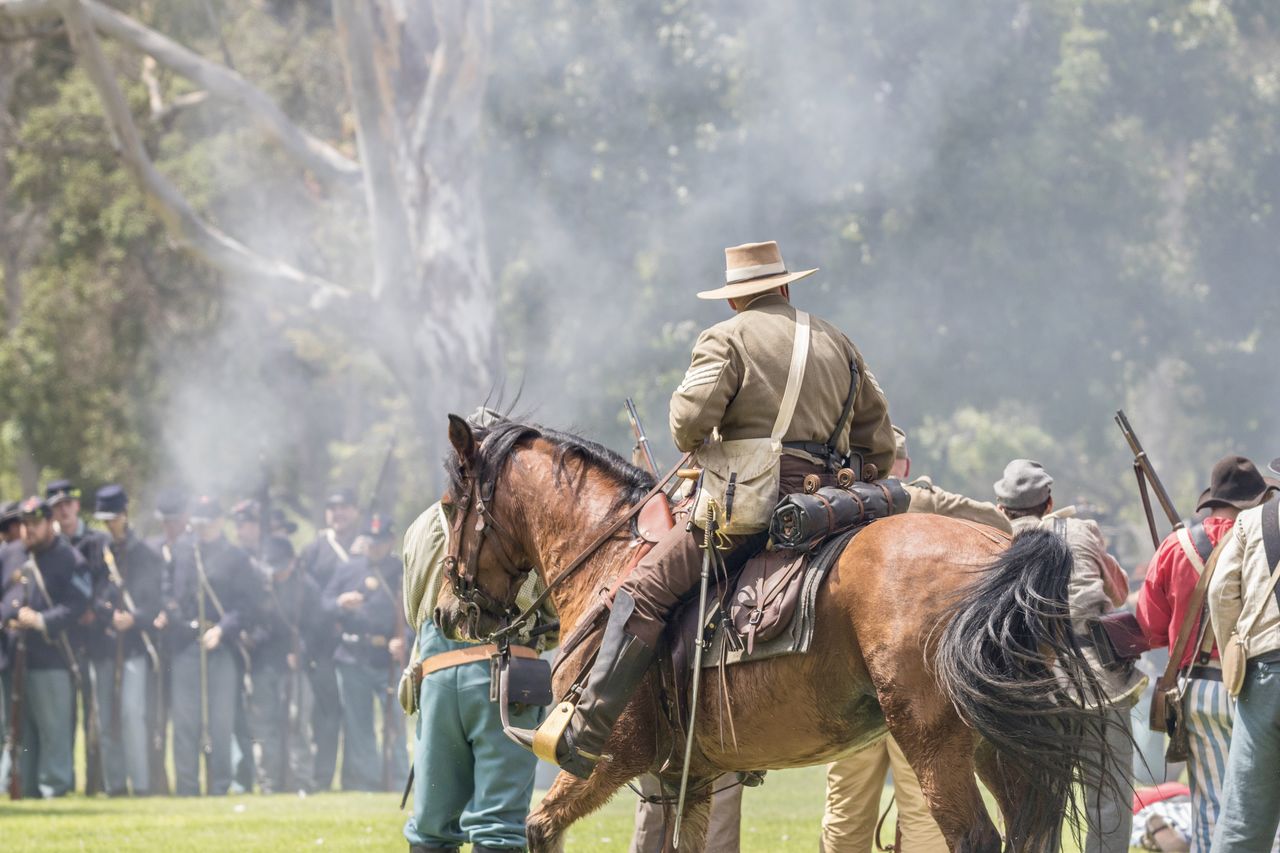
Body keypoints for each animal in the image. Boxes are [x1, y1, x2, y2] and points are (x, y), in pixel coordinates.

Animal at [437, 414, 1121, 845]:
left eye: (449, 506)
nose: (449, 612)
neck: (610, 558)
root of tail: (1004, 552)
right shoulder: (686, 781)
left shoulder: (609, 759)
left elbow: (539, 827)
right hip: (999, 746)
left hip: (937, 748)